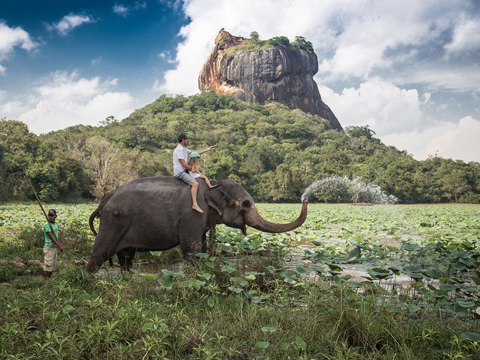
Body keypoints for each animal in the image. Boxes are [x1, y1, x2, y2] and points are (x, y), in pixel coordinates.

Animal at [86, 176, 308, 272]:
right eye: (245, 204)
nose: (305, 199)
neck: (213, 184)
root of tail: (105, 200)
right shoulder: (192, 214)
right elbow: (191, 248)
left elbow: (201, 248)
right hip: (113, 221)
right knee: (100, 254)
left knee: (126, 258)